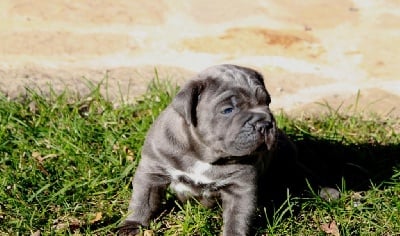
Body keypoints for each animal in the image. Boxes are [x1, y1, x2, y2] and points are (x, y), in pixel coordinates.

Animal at [117, 64, 296, 236]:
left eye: (267, 103)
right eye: (228, 110)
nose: (265, 124)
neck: (202, 155)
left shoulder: (240, 187)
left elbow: (237, 218)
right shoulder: (153, 171)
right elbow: (143, 201)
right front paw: (133, 224)